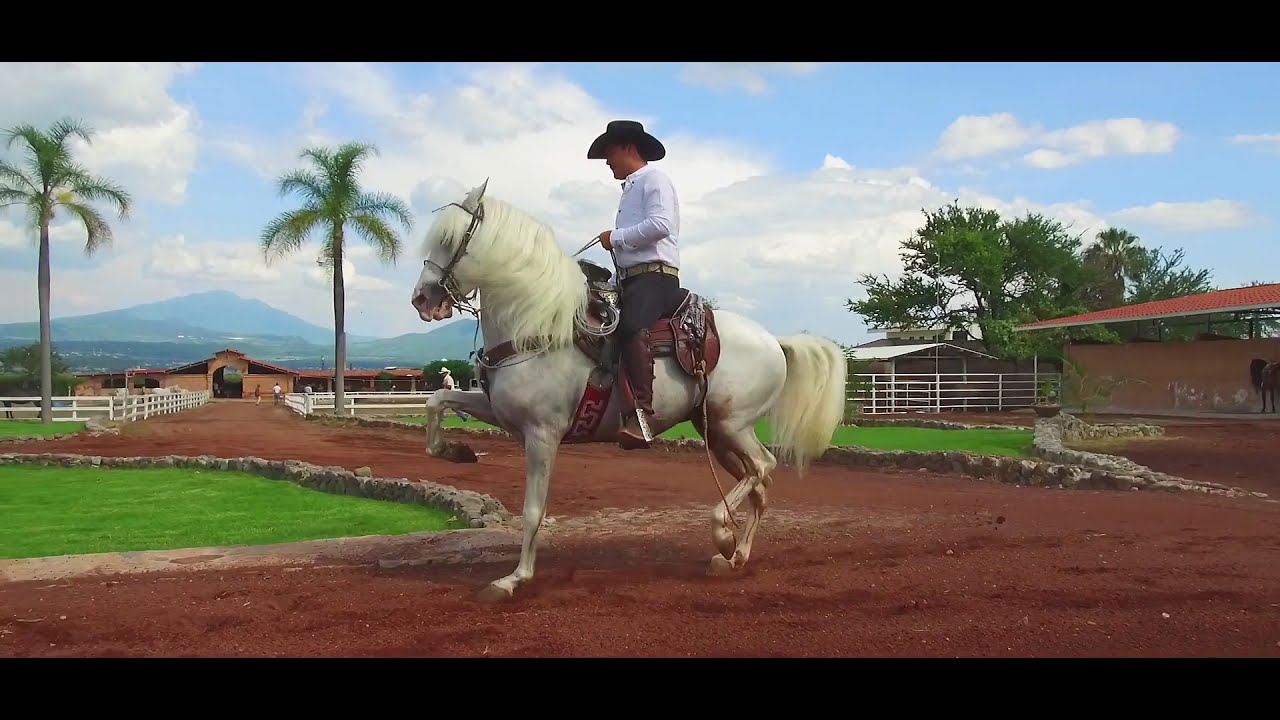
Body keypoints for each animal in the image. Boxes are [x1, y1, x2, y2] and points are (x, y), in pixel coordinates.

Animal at [408, 181, 848, 603]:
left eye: (449, 240)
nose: (421, 299)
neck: (538, 325)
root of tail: (775, 341)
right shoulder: (498, 412)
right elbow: (437, 401)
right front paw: (455, 450)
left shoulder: (542, 434)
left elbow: (533, 509)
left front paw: (514, 579)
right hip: (717, 433)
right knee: (758, 485)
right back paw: (735, 555)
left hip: (733, 425)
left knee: (763, 468)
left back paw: (724, 536)